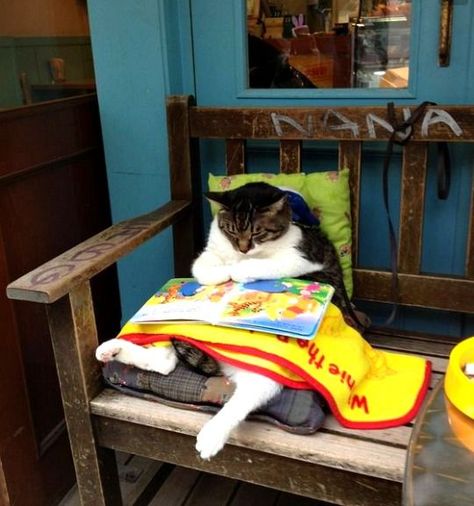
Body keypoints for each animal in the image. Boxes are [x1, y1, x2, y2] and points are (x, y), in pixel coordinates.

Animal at [97, 182, 360, 458]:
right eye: (232, 230)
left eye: (257, 232)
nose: (243, 249)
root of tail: (226, 365)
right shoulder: (211, 251)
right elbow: (201, 266)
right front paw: (221, 274)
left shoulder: (301, 256)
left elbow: (266, 264)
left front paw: (238, 272)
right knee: (164, 362)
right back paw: (111, 349)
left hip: (268, 370)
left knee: (242, 400)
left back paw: (210, 437)